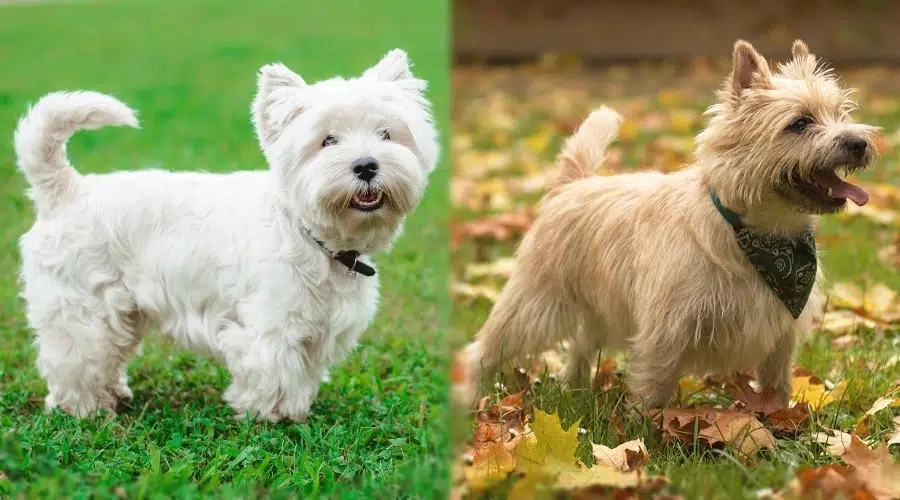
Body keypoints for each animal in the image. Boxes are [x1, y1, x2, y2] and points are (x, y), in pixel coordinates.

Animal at [13, 48, 436, 420]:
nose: (366, 165)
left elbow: (301, 375)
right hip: (82, 309)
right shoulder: (270, 324)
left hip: (124, 312)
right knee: (75, 361)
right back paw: (86, 408)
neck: (311, 236)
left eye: (386, 134)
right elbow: (274, 374)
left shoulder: (318, 329)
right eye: (327, 140)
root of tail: (66, 190)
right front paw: (271, 417)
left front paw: (295, 410)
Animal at [458, 40, 872, 410]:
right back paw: (470, 397)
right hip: (535, 304)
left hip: (598, 309)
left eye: (842, 114)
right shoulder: (667, 329)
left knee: (579, 346)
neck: (760, 235)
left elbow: (777, 385)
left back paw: (575, 390)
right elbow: (654, 387)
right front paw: (644, 434)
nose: (858, 142)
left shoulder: (781, 334)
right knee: (484, 350)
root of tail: (570, 185)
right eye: (799, 124)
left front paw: (777, 425)